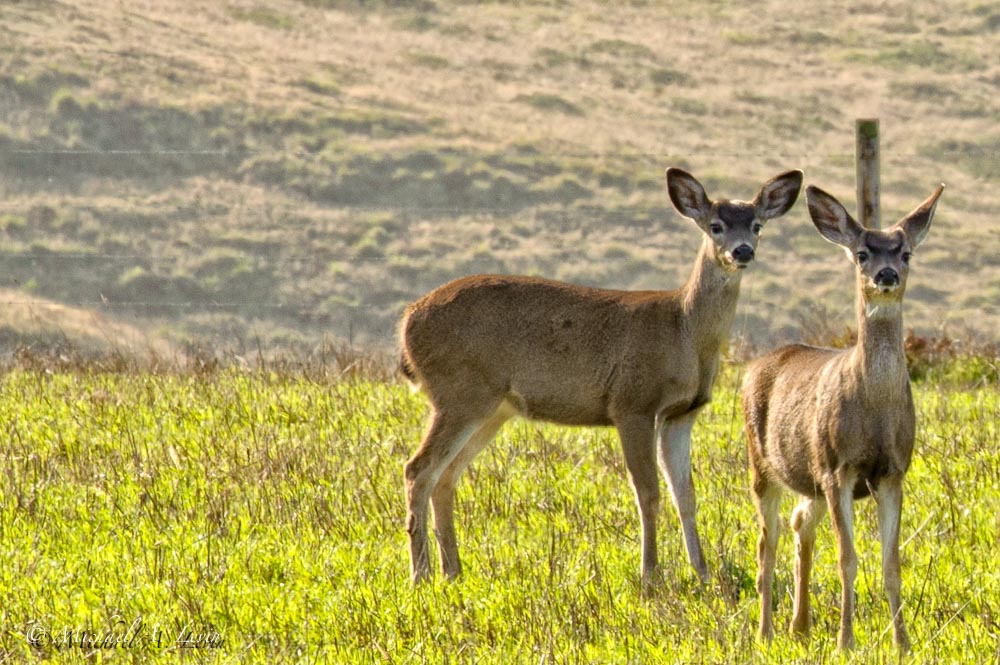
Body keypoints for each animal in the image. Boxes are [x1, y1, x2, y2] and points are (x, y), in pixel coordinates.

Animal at [398, 167, 804, 588]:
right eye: (716, 226)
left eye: (757, 225)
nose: (743, 251)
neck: (684, 330)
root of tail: (408, 320)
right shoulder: (632, 402)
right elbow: (648, 491)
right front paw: (650, 576)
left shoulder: (682, 413)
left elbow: (686, 494)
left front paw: (704, 574)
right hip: (460, 392)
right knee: (417, 469)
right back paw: (420, 574)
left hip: (493, 408)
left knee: (446, 476)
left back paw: (452, 571)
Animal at [744, 179, 944, 652]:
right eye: (862, 253)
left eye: (905, 253)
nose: (886, 275)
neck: (875, 410)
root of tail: (754, 367)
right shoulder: (839, 468)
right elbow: (847, 559)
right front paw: (845, 642)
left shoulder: (892, 471)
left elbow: (891, 563)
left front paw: (903, 643)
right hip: (764, 466)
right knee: (766, 543)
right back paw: (765, 632)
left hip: (810, 475)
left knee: (800, 524)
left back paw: (799, 626)